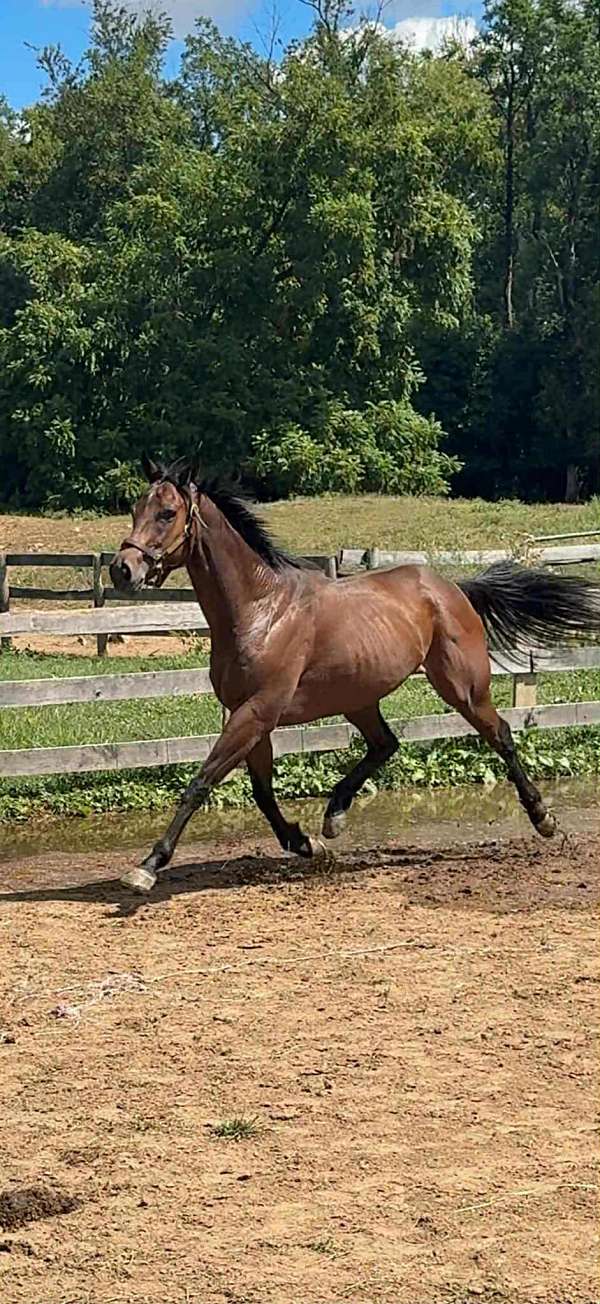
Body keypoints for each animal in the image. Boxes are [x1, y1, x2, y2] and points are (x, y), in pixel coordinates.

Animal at [110, 456, 600, 893]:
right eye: (135, 509)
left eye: (167, 513)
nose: (122, 570)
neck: (258, 611)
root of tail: (452, 588)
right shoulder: (250, 716)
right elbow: (262, 791)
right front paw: (303, 842)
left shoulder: (257, 712)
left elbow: (201, 782)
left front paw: (148, 866)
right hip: (359, 698)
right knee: (386, 744)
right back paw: (334, 816)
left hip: (463, 688)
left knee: (500, 735)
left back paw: (543, 819)